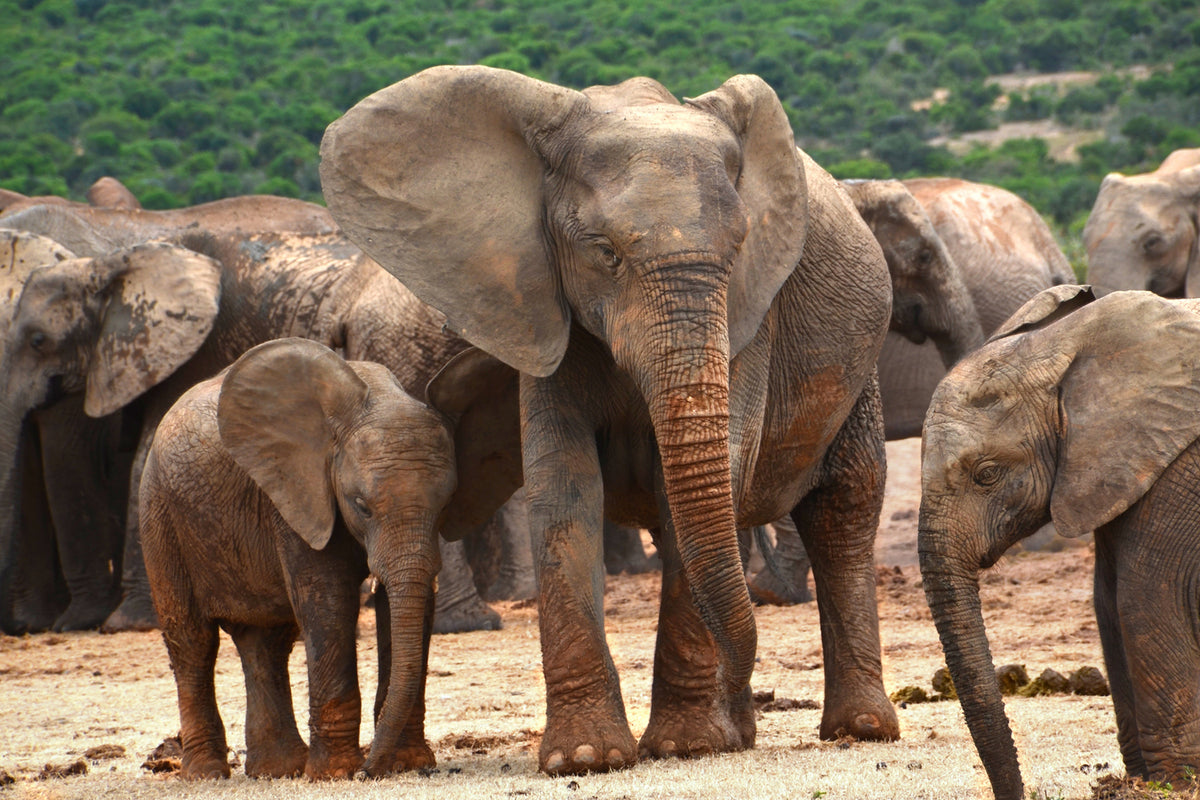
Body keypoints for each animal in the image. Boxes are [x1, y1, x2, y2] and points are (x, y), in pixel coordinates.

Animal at [140, 338, 516, 782]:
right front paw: (336, 774)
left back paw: (278, 770)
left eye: (446, 504)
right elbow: (328, 602)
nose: (370, 770)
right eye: (361, 506)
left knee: (266, 641)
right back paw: (207, 774)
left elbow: (412, 604)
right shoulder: (297, 495)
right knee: (192, 640)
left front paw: (405, 764)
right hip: (159, 513)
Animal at [319, 64, 902, 777]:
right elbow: (564, 487)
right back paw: (743, 731)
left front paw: (686, 746)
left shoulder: (751, 315)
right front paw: (586, 757)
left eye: (740, 247)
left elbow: (701, 492)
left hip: (861, 368)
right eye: (604, 252)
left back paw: (856, 729)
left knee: (844, 507)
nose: (748, 703)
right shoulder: (539, 303)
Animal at [916, 284, 1200, 796]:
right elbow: (1107, 602)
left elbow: (1147, 598)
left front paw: (1174, 785)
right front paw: (1140, 782)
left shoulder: (1181, 467)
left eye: (986, 474)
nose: (1020, 794)